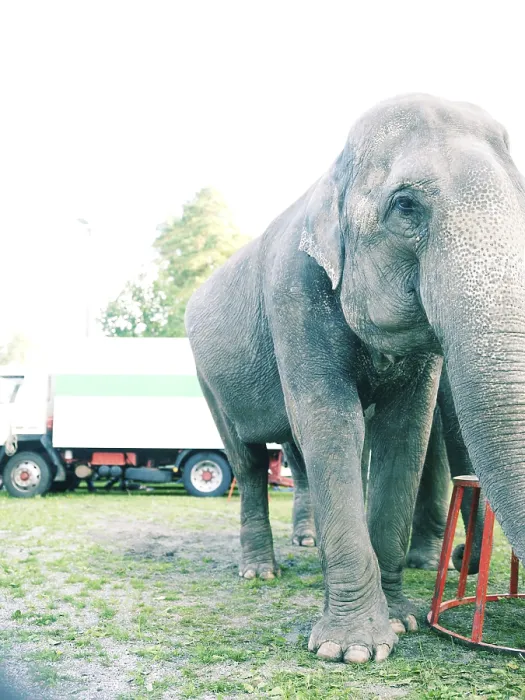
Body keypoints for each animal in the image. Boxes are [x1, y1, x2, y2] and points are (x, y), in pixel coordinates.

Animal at [186, 94, 525, 664]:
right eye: (405, 205)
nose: (460, 555)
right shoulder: (294, 292)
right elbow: (332, 424)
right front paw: (351, 650)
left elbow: (405, 434)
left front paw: (404, 620)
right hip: (207, 378)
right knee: (248, 462)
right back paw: (260, 571)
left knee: (295, 454)